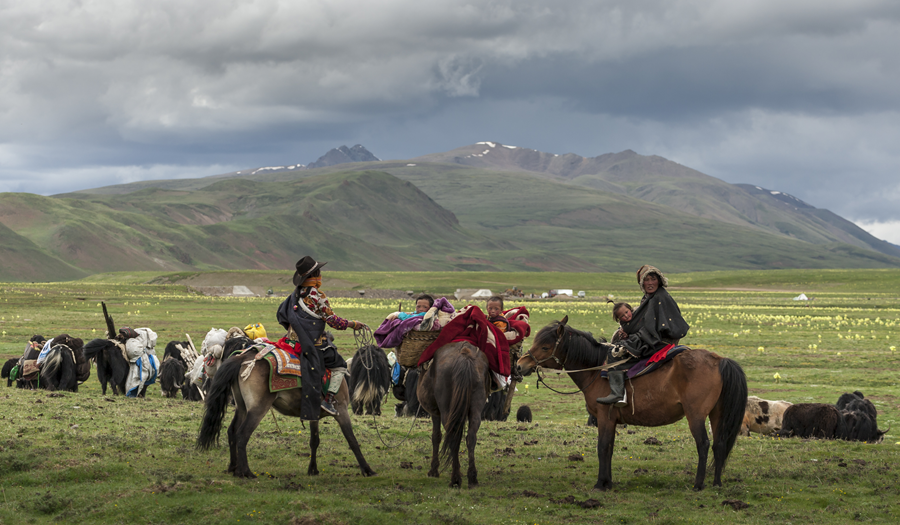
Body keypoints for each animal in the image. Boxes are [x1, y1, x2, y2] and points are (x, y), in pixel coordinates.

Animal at [196, 350, 376, 479]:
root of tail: (243, 359)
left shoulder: (314, 415)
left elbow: (314, 441)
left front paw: (313, 470)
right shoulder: (342, 411)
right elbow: (352, 440)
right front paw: (367, 469)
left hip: (242, 407)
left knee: (232, 431)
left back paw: (233, 468)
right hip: (258, 408)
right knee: (242, 434)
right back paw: (246, 472)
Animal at [417, 341, 491, 488]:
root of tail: (464, 357)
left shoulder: (436, 413)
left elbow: (436, 436)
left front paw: (433, 470)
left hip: (446, 408)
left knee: (452, 437)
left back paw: (455, 478)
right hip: (476, 405)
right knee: (471, 437)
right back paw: (472, 477)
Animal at [517, 317, 747, 491]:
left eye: (545, 346)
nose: (520, 365)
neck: (596, 369)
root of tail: (719, 360)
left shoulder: (604, 416)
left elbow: (602, 447)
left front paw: (600, 484)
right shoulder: (611, 420)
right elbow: (609, 448)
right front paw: (608, 482)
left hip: (696, 415)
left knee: (704, 444)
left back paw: (698, 484)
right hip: (717, 414)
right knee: (719, 444)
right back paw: (716, 483)